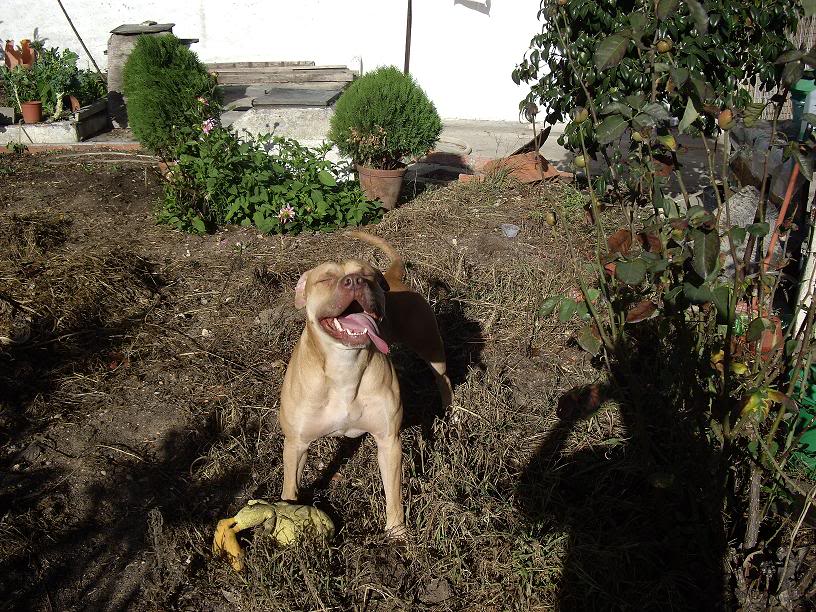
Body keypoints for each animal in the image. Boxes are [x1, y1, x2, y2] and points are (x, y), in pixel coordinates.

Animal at [278, 232, 450, 532]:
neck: (344, 366)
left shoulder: (389, 441)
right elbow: (290, 488)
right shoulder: (296, 444)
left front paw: (396, 532)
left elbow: (394, 494)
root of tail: (392, 276)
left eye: (367, 275)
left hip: (431, 347)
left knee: (444, 378)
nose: (356, 281)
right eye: (325, 279)